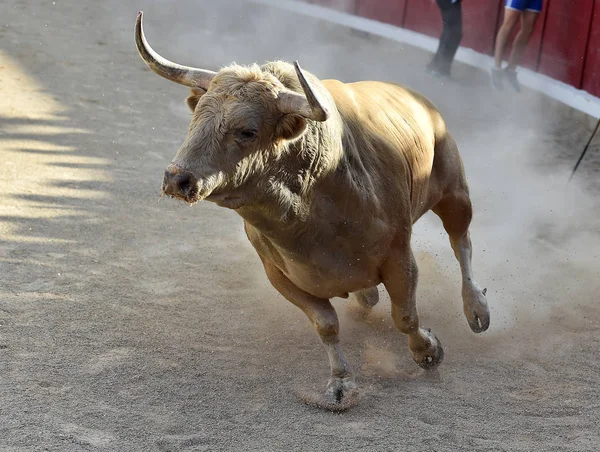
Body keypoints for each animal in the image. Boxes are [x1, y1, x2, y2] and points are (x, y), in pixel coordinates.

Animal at [134, 11, 490, 410]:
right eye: (197, 117)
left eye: (248, 131)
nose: (176, 179)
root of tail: (420, 100)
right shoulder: (280, 274)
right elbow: (326, 324)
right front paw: (340, 383)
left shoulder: (400, 256)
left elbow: (405, 316)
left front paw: (428, 351)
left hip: (454, 191)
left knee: (461, 242)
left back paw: (477, 309)